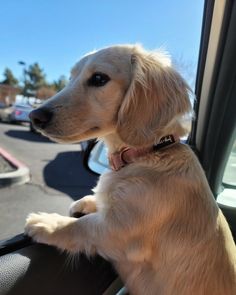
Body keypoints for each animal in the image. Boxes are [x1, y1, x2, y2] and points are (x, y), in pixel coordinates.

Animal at [24, 45, 235, 294]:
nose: (34, 116)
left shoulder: (118, 232)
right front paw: (86, 202)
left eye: (99, 78)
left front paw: (47, 222)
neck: (148, 153)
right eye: (70, 78)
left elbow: (82, 226)